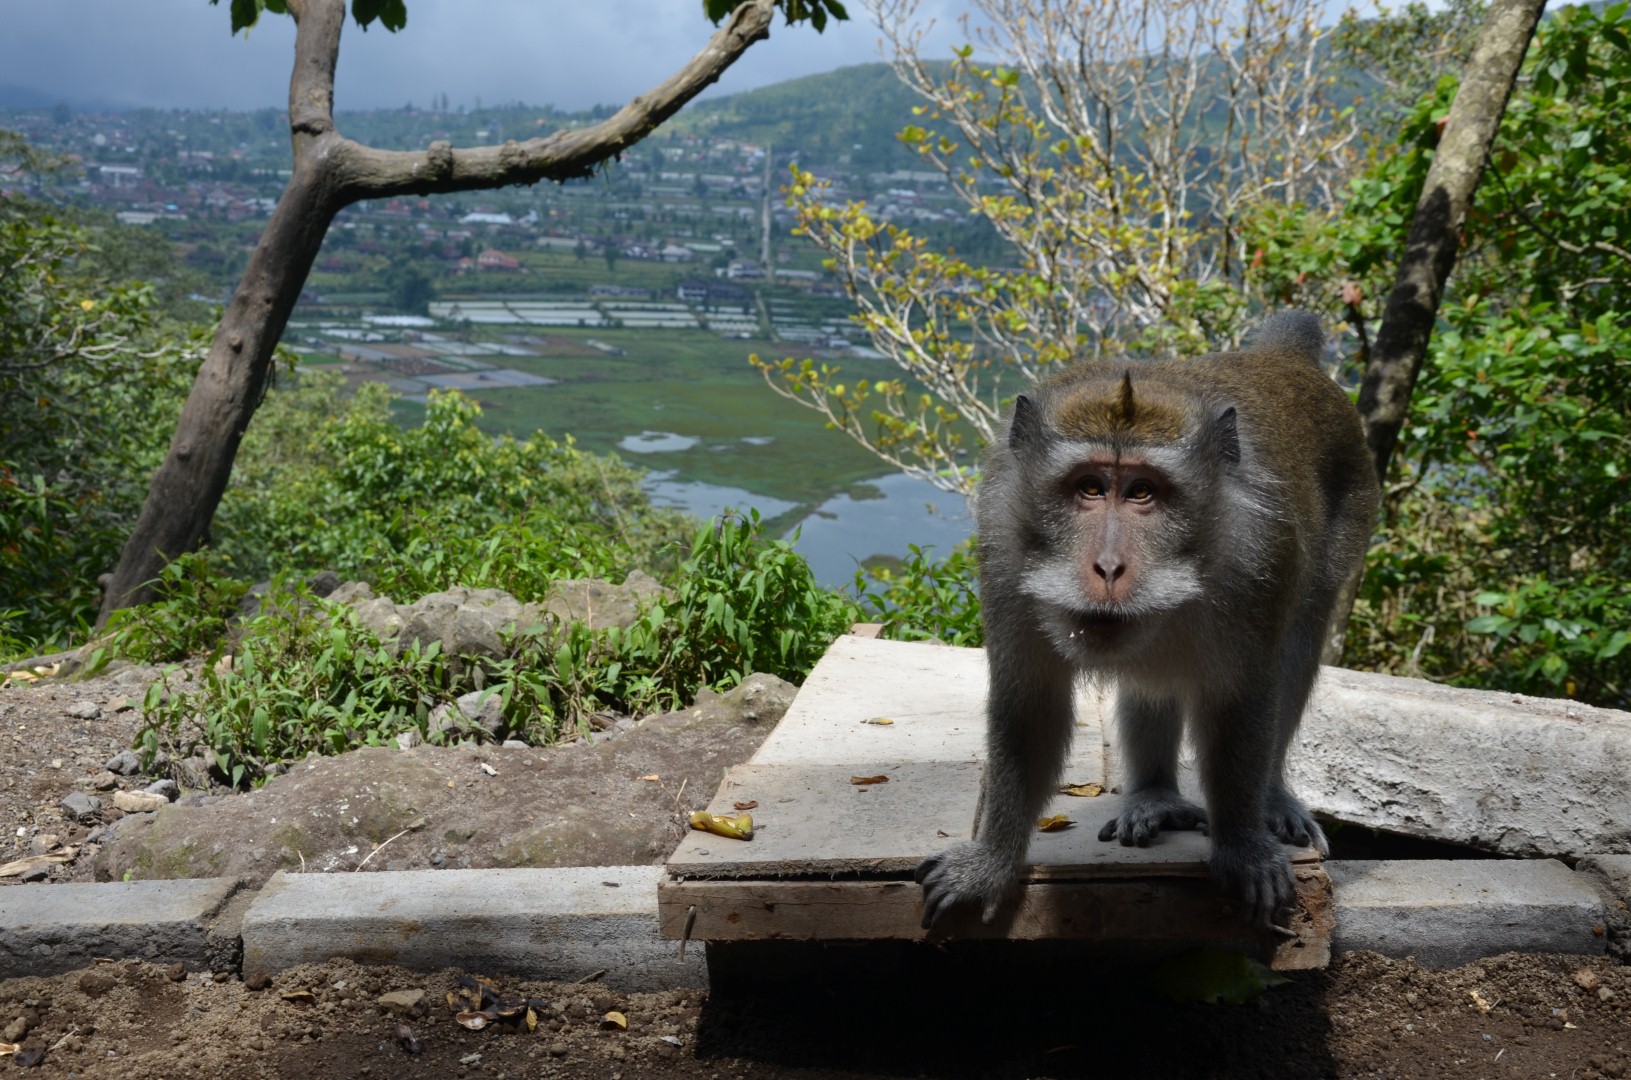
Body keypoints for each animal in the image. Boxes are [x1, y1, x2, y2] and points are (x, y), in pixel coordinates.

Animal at [916, 310, 1379, 930]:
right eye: (1090, 487)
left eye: (1143, 492)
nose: (1109, 566)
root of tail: (1284, 358)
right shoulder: (1004, 548)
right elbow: (1029, 701)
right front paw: (991, 862)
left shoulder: (1260, 558)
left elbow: (1240, 702)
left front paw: (1242, 848)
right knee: (1151, 679)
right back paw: (1154, 797)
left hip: (1350, 518)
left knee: (1298, 649)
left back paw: (1273, 799)